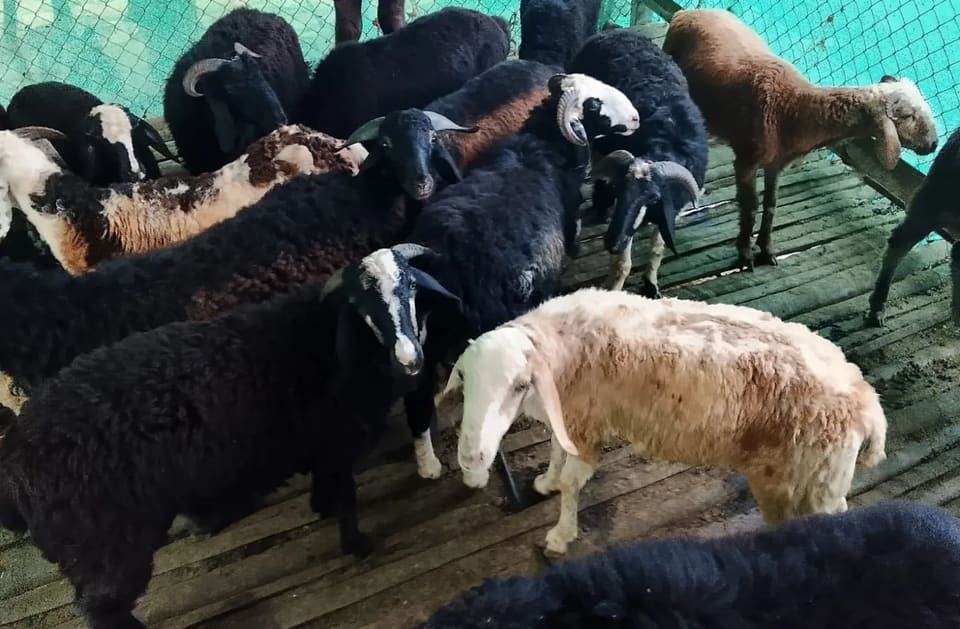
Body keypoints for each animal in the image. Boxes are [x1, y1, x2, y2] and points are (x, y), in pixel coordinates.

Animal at [0, 244, 460, 629]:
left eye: (411, 286)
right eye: (362, 305)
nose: (410, 359)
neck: (339, 346)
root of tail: (17, 452)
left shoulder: (320, 448)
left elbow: (326, 488)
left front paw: (322, 508)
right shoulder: (336, 441)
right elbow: (347, 498)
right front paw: (358, 544)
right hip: (106, 549)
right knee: (101, 608)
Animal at [383, 74, 641, 488]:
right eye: (594, 105)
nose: (635, 118)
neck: (542, 144)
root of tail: (444, 264)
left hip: (420, 336)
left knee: (418, 401)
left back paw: (428, 465)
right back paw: (475, 475)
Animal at [441, 287, 887, 556]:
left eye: (518, 385)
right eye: (463, 377)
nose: (471, 458)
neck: (559, 344)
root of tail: (868, 402)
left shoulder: (586, 425)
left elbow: (571, 484)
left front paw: (561, 535)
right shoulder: (569, 413)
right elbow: (554, 449)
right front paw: (546, 481)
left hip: (804, 483)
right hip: (819, 480)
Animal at [567, 28, 708, 294]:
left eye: (652, 198)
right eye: (620, 189)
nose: (611, 242)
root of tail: (615, 30)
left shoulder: (671, 207)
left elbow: (658, 248)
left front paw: (651, 285)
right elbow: (623, 263)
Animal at [662, 8, 939, 270]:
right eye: (909, 115)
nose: (934, 145)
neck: (794, 106)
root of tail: (687, 12)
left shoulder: (776, 163)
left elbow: (771, 205)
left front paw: (767, 250)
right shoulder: (746, 160)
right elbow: (750, 207)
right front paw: (745, 254)